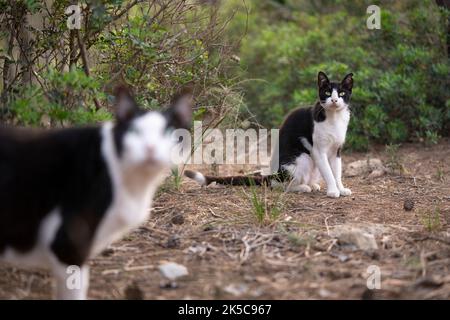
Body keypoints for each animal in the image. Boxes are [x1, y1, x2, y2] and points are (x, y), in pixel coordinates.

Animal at [185, 71, 354, 199]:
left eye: (341, 93)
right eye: (327, 92)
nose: (334, 100)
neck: (334, 118)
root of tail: (274, 173)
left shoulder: (336, 150)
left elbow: (337, 172)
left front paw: (341, 189)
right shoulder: (319, 150)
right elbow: (328, 172)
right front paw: (333, 191)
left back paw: (312, 184)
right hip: (302, 158)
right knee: (280, 184)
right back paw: (303, 187)